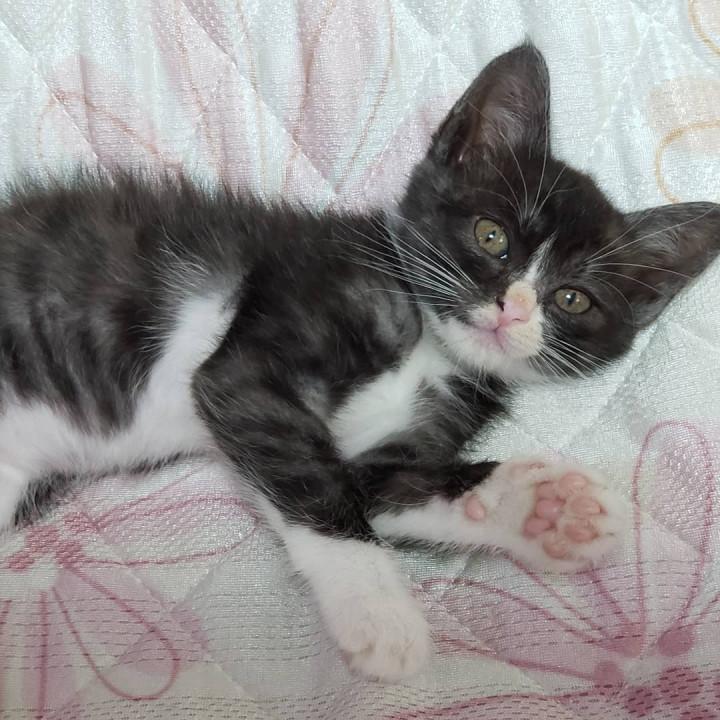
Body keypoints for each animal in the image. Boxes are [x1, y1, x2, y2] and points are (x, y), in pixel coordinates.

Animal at [1, 42, 719, 682]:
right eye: (491, 235)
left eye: (572, 298)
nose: (511, 310)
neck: (428, 347)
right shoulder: (247, 373)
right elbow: (316, 485)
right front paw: (379, 613)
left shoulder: (412, 431)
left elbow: (380, 489)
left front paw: (540, 507)